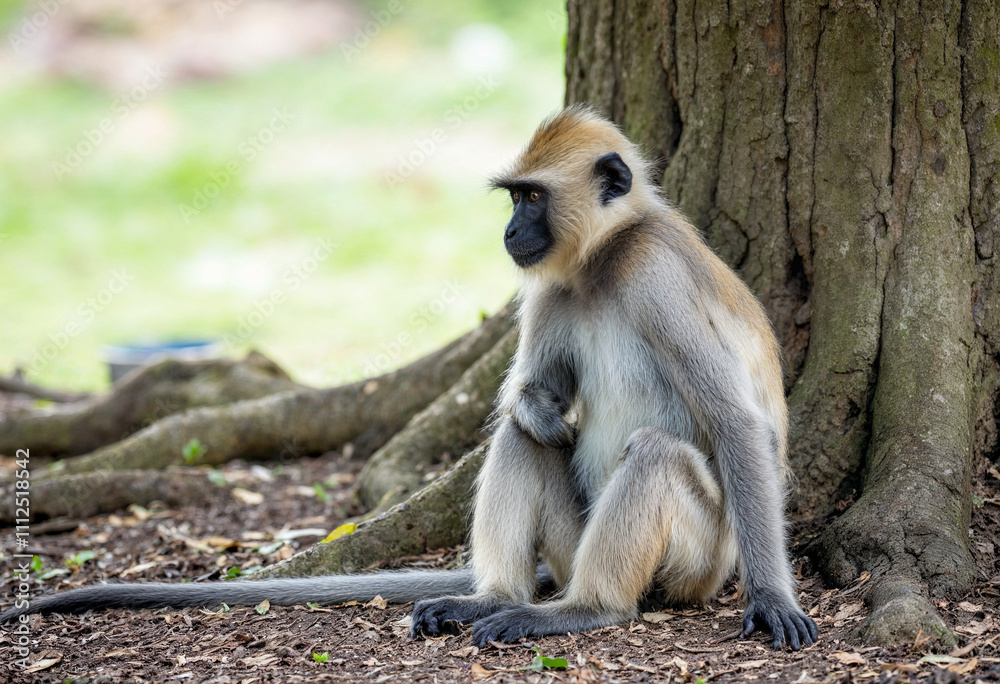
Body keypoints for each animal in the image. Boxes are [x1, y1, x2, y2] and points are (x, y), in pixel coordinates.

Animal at [1, 106, 817, 650]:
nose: (509, 232)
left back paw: (584, 609)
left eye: (532, 198)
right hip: (572, 541)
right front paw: (541, 406)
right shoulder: (553, 289)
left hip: (700, 559)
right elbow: (531, 401)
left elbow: (734, 420)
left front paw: (774, 599)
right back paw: (490, 596)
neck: (602, 262)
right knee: (524, 438)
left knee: (653, 456)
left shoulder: (653, 276)